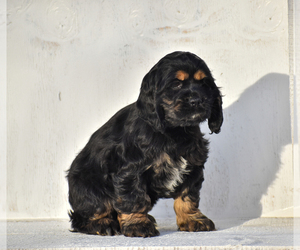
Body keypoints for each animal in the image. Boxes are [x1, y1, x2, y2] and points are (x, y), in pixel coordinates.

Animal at [67, 50, 223, 236]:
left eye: (204, 83)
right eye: (176, 84)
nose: (197, 100)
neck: (174, 132)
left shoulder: (193, 166)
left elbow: (188, 196)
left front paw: (193, 219)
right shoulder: (130, 169)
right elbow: (134, 198)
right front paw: (138, 224)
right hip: (89, 188)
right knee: (85, 215)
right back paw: (102, 224)